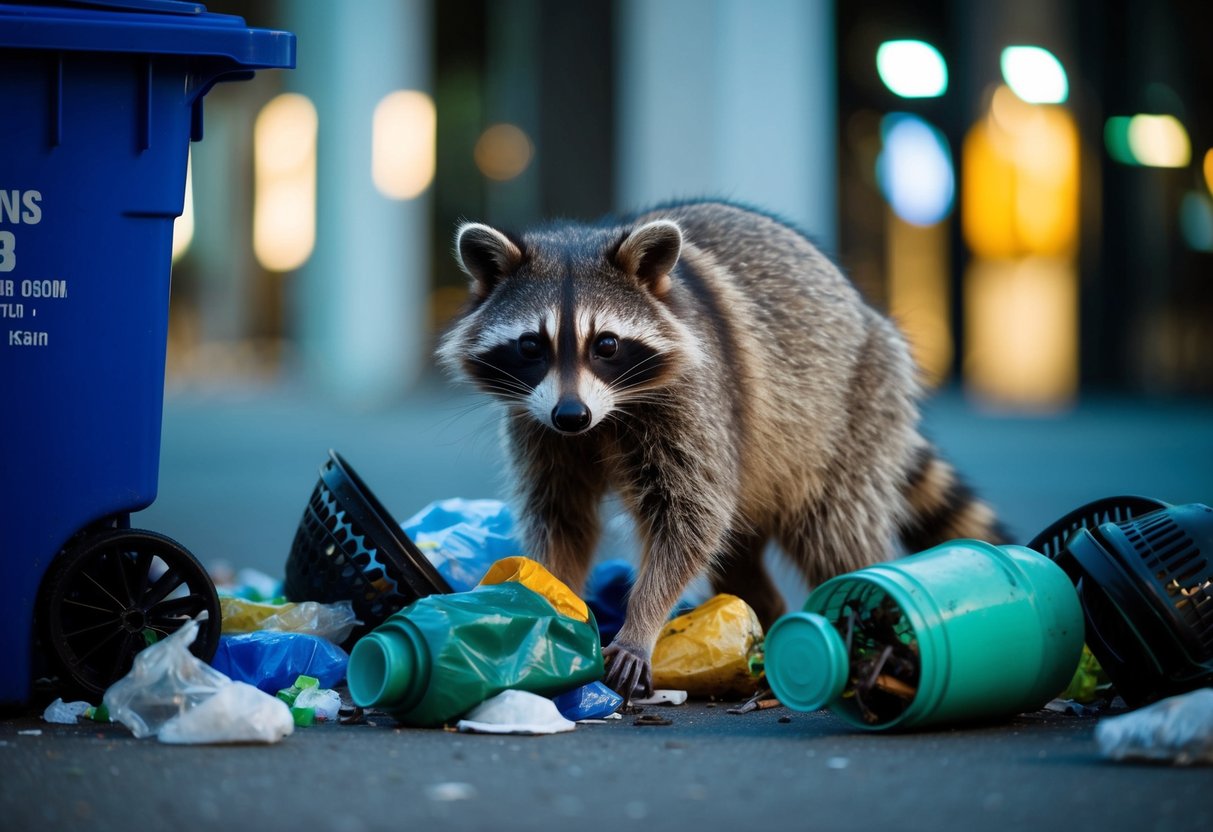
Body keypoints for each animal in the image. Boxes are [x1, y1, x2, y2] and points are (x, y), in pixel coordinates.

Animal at [437, 200, 1006, 699]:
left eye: (606, 345)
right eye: (532, 345)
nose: (571, 416)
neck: (604, 418)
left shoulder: (698, 398)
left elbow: (689, 517)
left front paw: (641, 621)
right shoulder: (537, 424)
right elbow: (563, 517)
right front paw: (545, 596)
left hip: (855, 411)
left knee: (836, 530)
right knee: (740, 553)